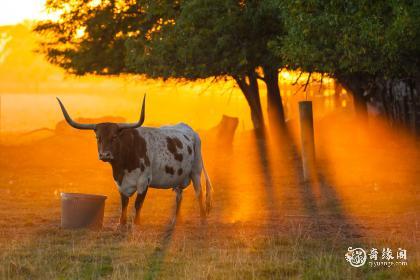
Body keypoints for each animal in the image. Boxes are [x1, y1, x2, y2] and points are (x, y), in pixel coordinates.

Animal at [57, 96, 212, 225]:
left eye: (114, 137)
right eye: (98, 137)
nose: (105, 155)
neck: (123, 166)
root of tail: (190, 130)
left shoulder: (144, 181)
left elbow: (138, 204)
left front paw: (136, 223)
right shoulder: (120, 183)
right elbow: (124, 203)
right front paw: (121, 223)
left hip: (196, 171)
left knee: (199, 193)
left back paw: (203, 219)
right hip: (179, 176)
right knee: (179, 196)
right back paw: (176, 220)